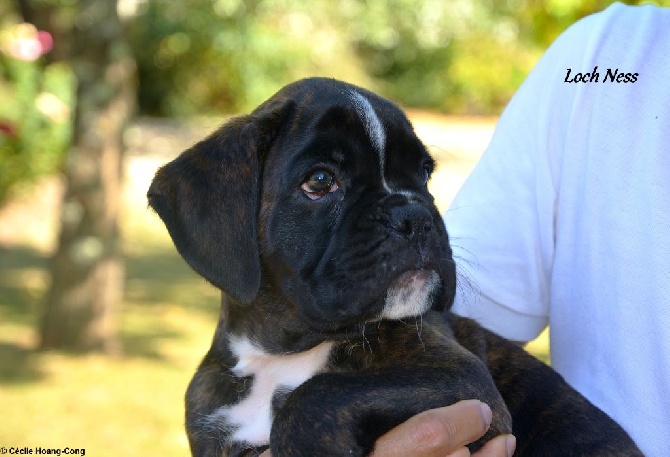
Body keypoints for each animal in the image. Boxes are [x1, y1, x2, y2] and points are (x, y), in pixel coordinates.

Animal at [150, 76, 644, 454]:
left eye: (423, 174)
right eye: (320, 181)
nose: (415, 215)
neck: (278, 356)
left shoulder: (462, 380)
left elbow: (314, 396)